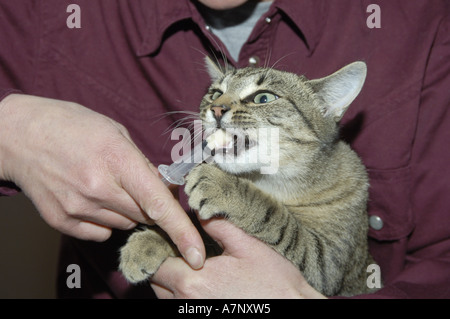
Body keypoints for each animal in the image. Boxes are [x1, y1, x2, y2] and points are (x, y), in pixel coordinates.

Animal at [118, 57, 380, 298]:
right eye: (215, 93)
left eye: (263, 98)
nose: (216, 109)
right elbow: (201, 236)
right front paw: (153, 240)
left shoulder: (325, 263)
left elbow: (277, 218)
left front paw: (221, 186)